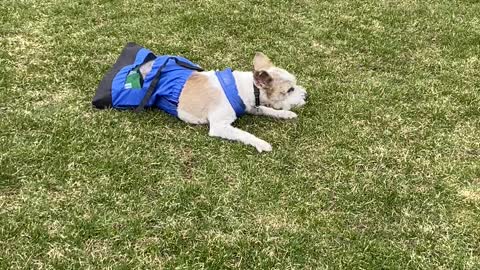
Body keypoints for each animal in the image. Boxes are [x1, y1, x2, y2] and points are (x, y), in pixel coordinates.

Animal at [141, 51, 310, 151]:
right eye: (290, 90)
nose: (306, 95)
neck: (246, 88)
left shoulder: (251, 107)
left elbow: (267, 109)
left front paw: (285, 114)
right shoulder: (219, 126)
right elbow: (244, 134)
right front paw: (261, 143)